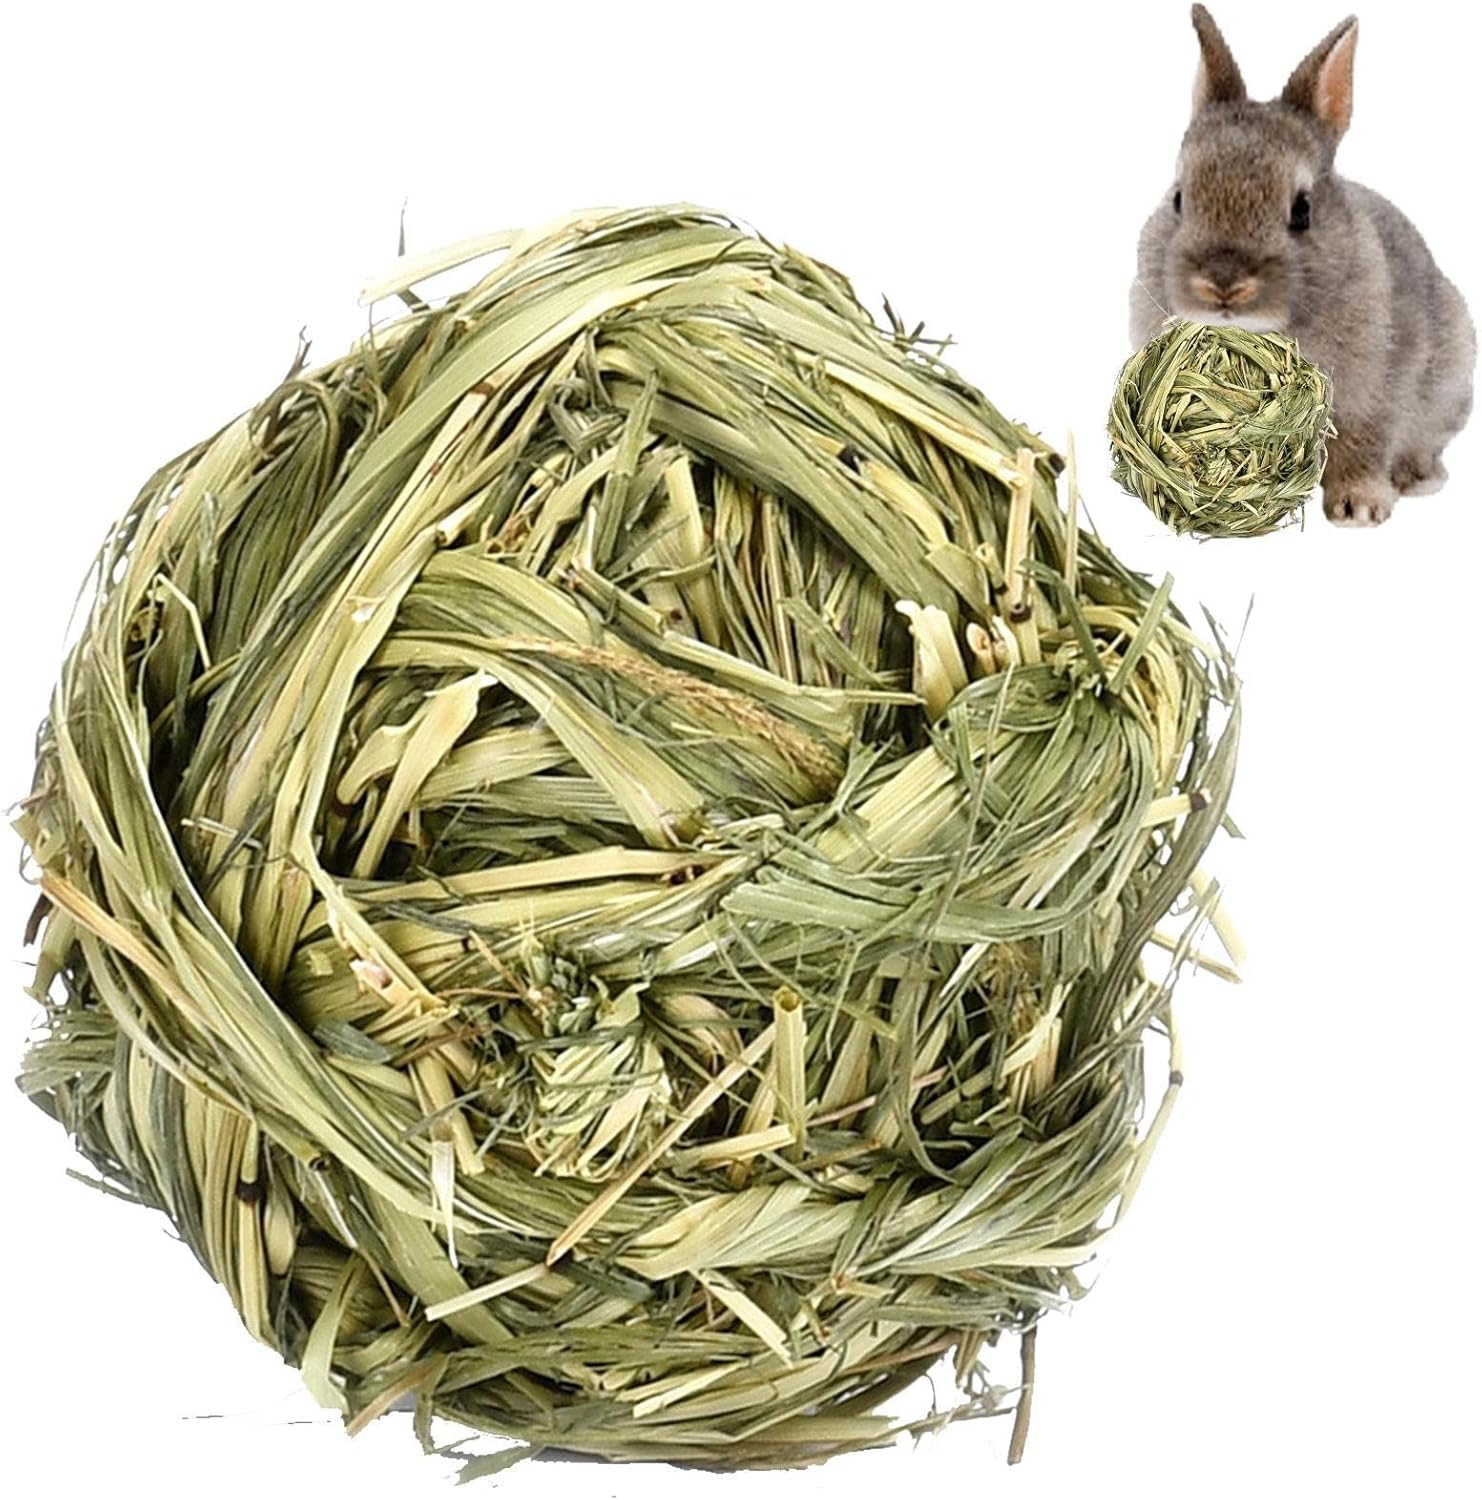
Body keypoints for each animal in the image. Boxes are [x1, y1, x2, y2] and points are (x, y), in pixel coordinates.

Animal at [1130, 7, 1474, 527]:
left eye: (1302, 210)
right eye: (1179, 199)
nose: (1223, 285)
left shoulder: (1374, 393)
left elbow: (1362, 445)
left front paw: (1359, 508)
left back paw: (1417, 477)